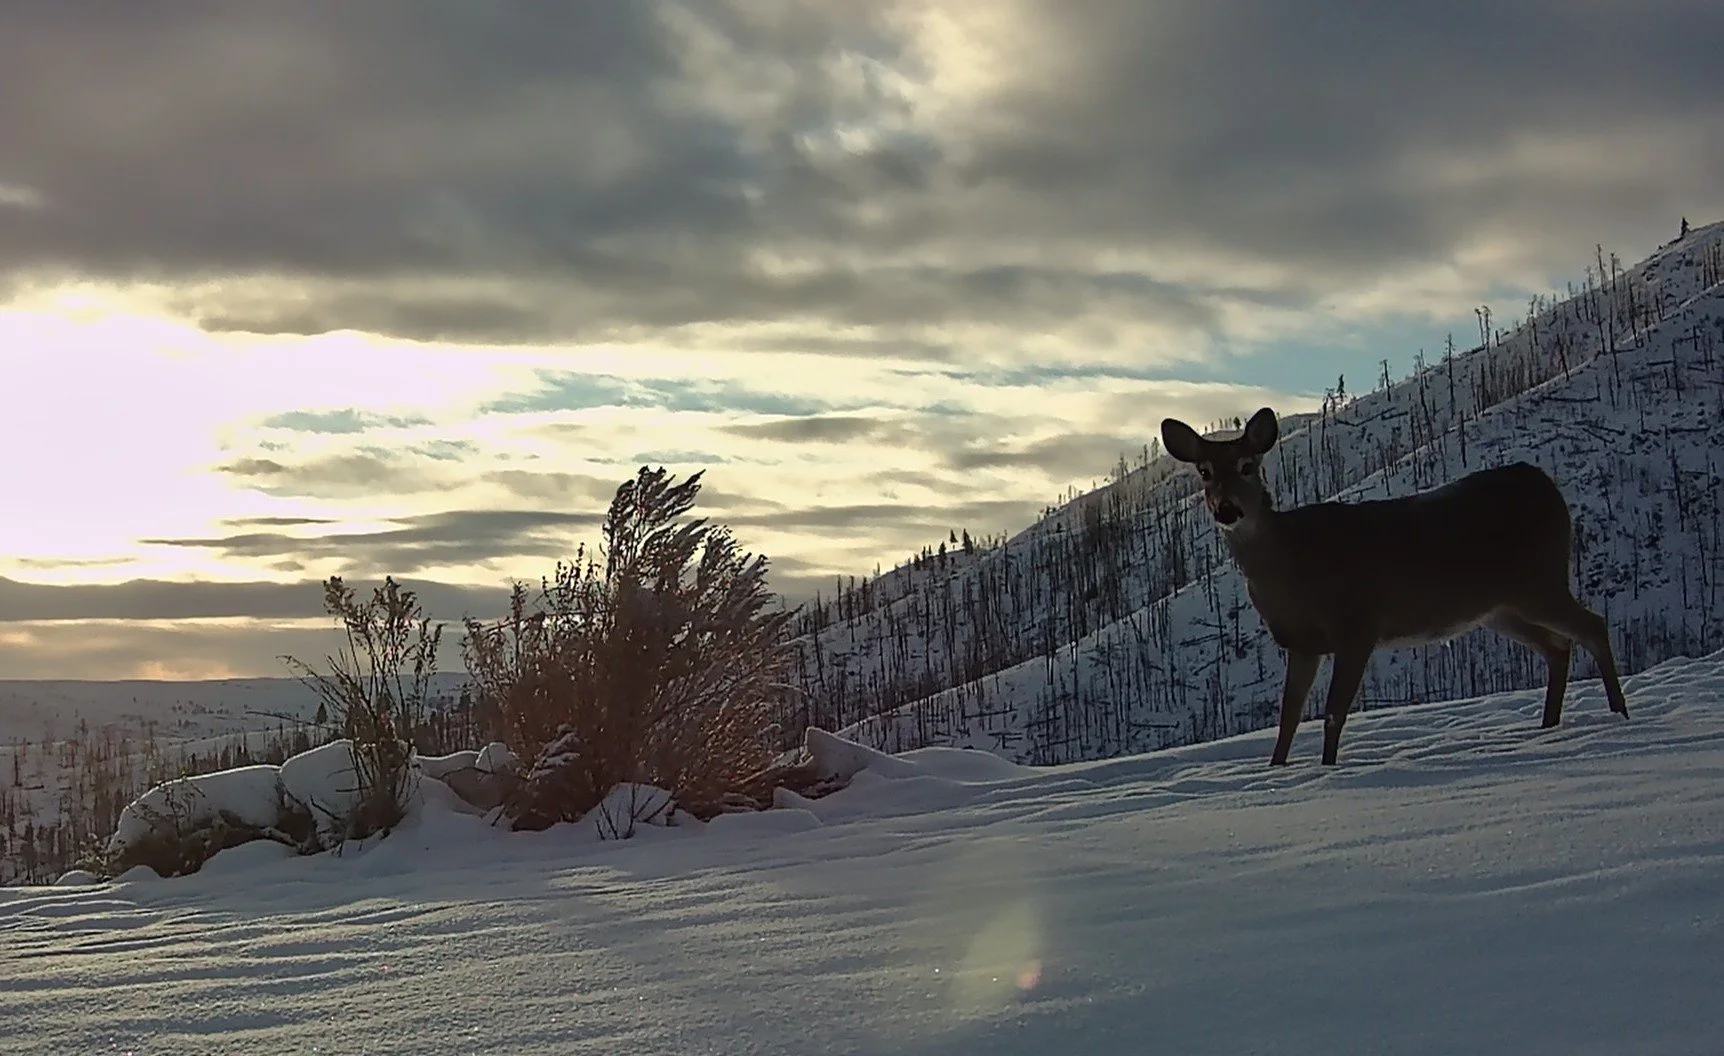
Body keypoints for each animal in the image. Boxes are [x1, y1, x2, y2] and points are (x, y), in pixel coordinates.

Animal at [1159, 407, 1629, 766]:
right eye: (1204, 472)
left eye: (1247, 466)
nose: (1226, 509)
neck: (1290, 567)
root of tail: (1544, 481)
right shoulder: (1303, 644)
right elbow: (1288, 719)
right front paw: (1277, 771)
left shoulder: (1357, 625)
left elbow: (1333, 714)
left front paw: (1328, 769)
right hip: (1500, 608)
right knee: (1558, 647)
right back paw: (1549, 725)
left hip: (1539, 580)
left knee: (1593, 626)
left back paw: (1619, 715)